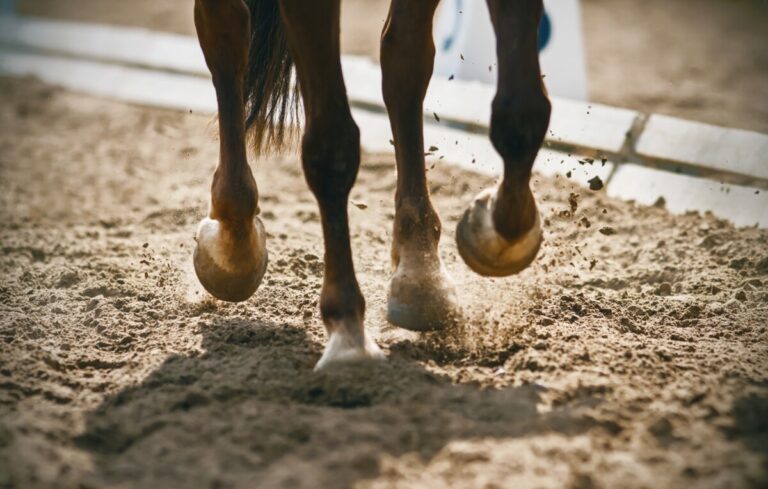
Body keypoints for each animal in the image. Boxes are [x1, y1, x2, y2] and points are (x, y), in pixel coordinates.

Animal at [192, 0, 552, 368]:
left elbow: (518, 110)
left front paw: (440, 264)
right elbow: (331, 145)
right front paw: (348, 332)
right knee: (227, 33)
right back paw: (233, 244)